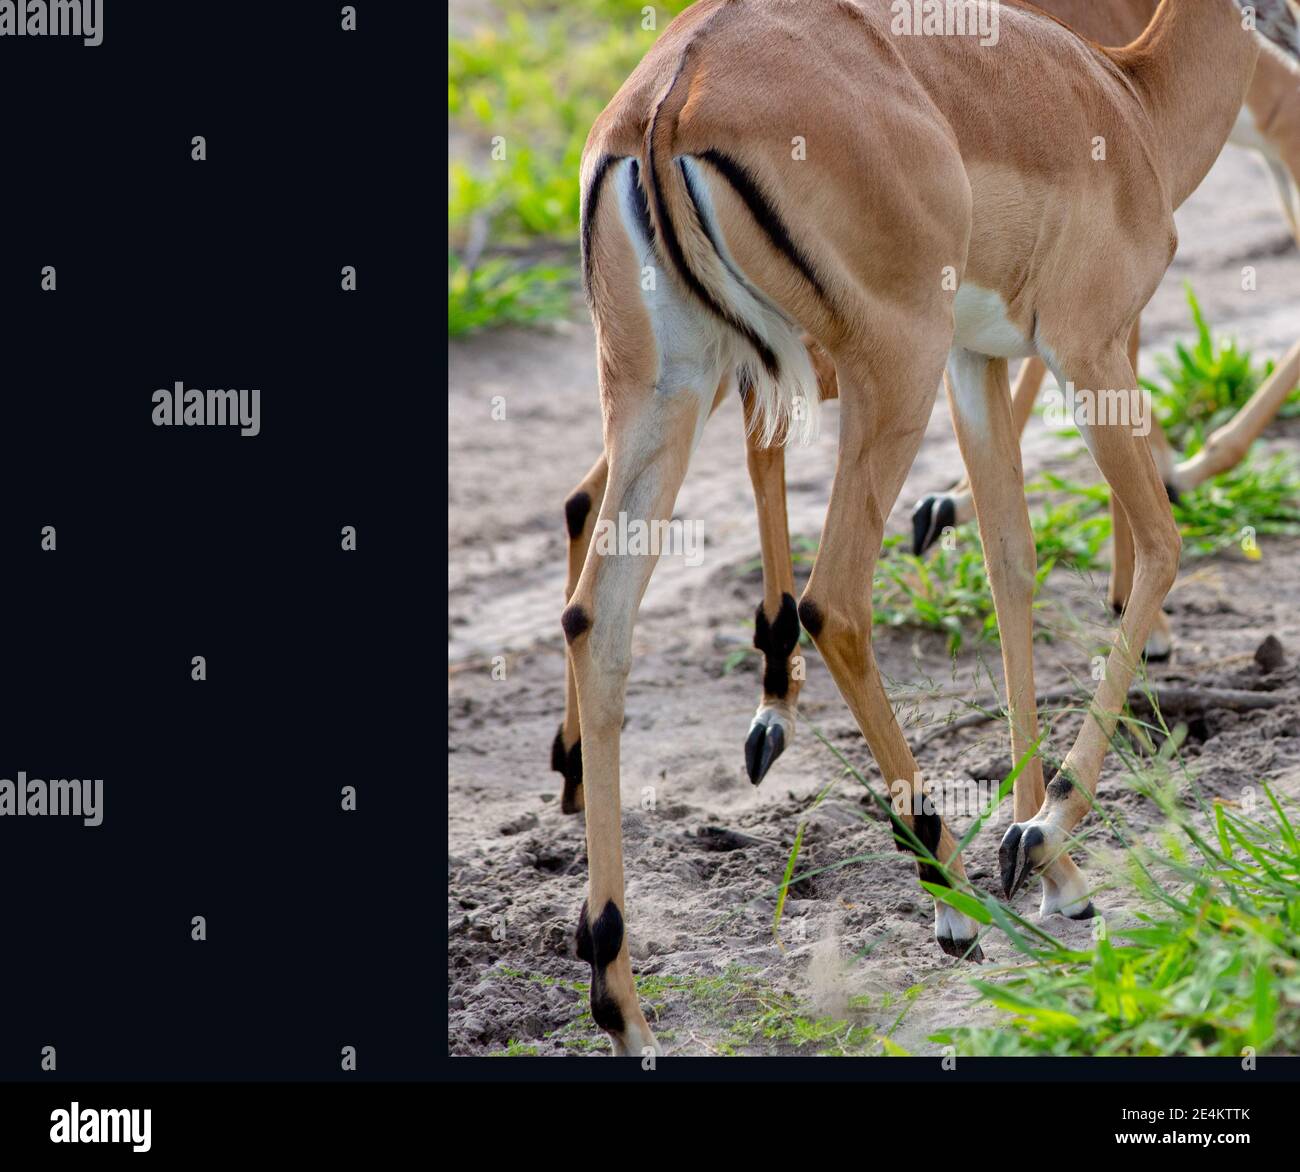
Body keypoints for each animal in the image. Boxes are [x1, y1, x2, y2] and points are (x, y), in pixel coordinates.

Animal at [562, 0, 1300, 1054]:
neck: (1128, 98)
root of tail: (672, 99)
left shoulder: (979, 361)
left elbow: (1010, 568)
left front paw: (1055, 871)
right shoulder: (1087, 347)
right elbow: (1160, 545)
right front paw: (1043, 835)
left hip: (669, 390)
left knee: (600, 619)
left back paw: (621, 1000)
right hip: (882, 370)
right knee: (833, 601)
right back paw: (949, 898)